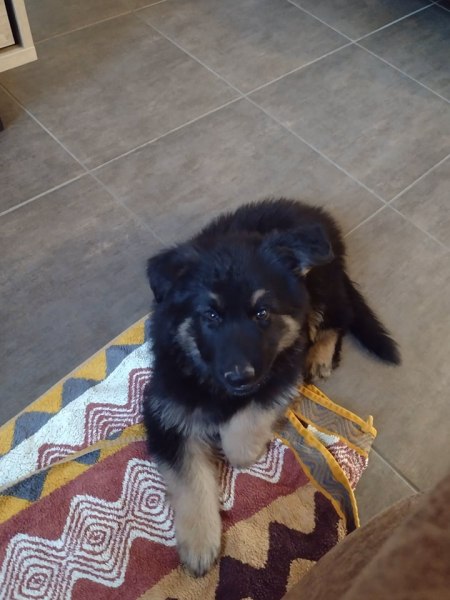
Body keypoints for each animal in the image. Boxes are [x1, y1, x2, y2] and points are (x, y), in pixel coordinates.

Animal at [143, 198, 400, 576]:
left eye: (262, 313)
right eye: (210, 315)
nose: (240, 377)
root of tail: (313, 213)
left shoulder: (283, 368)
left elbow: (250, 419)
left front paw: (241, 446)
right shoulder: (166, 411)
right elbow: (189, 479)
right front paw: (200, 542)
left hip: (321, 286)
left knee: (340, 317)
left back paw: (321, 354)